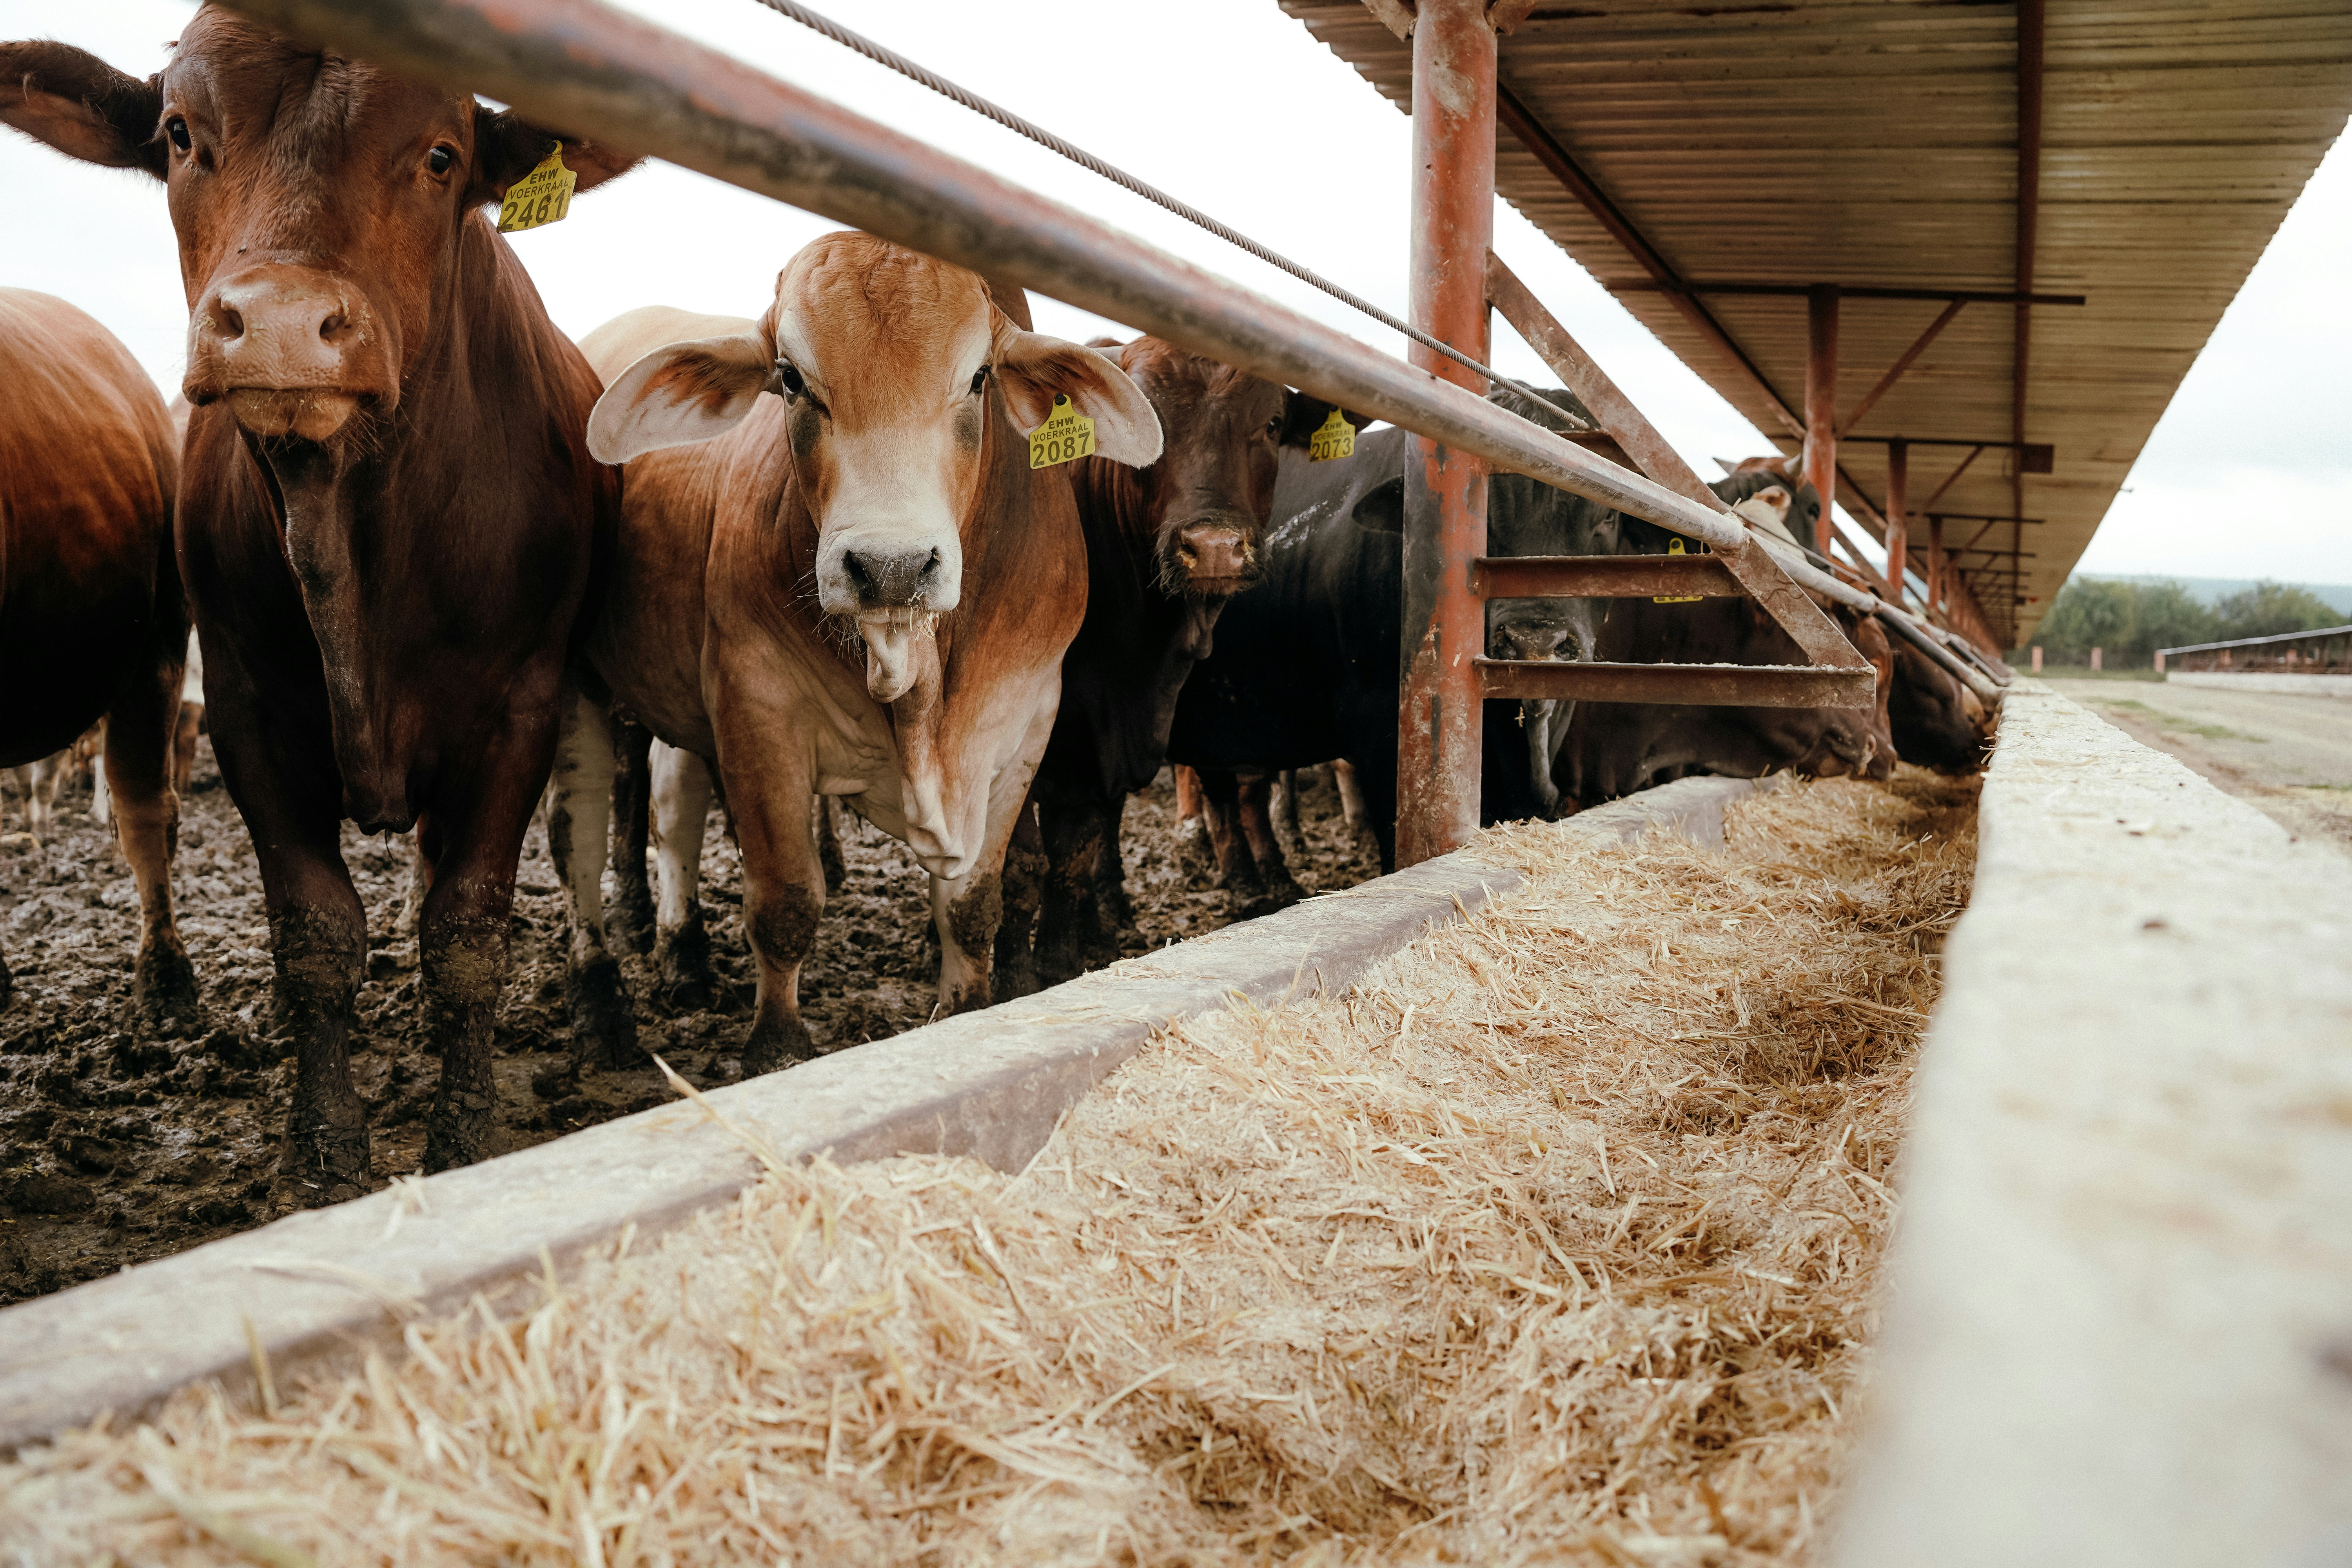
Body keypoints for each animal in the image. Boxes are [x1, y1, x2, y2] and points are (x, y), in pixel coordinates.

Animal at [544, 233, 1160, 1074]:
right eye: (790, 378)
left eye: (979, 378)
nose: (891, 568)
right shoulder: (756, 707)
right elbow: (786, 903)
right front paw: (776, 1045)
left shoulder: (1025, 723)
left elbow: (974, 904)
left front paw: (965, 1007)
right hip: (576, 679)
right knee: (576, 832)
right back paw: (601, 1004)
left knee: (674, 809)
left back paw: (686, 957)